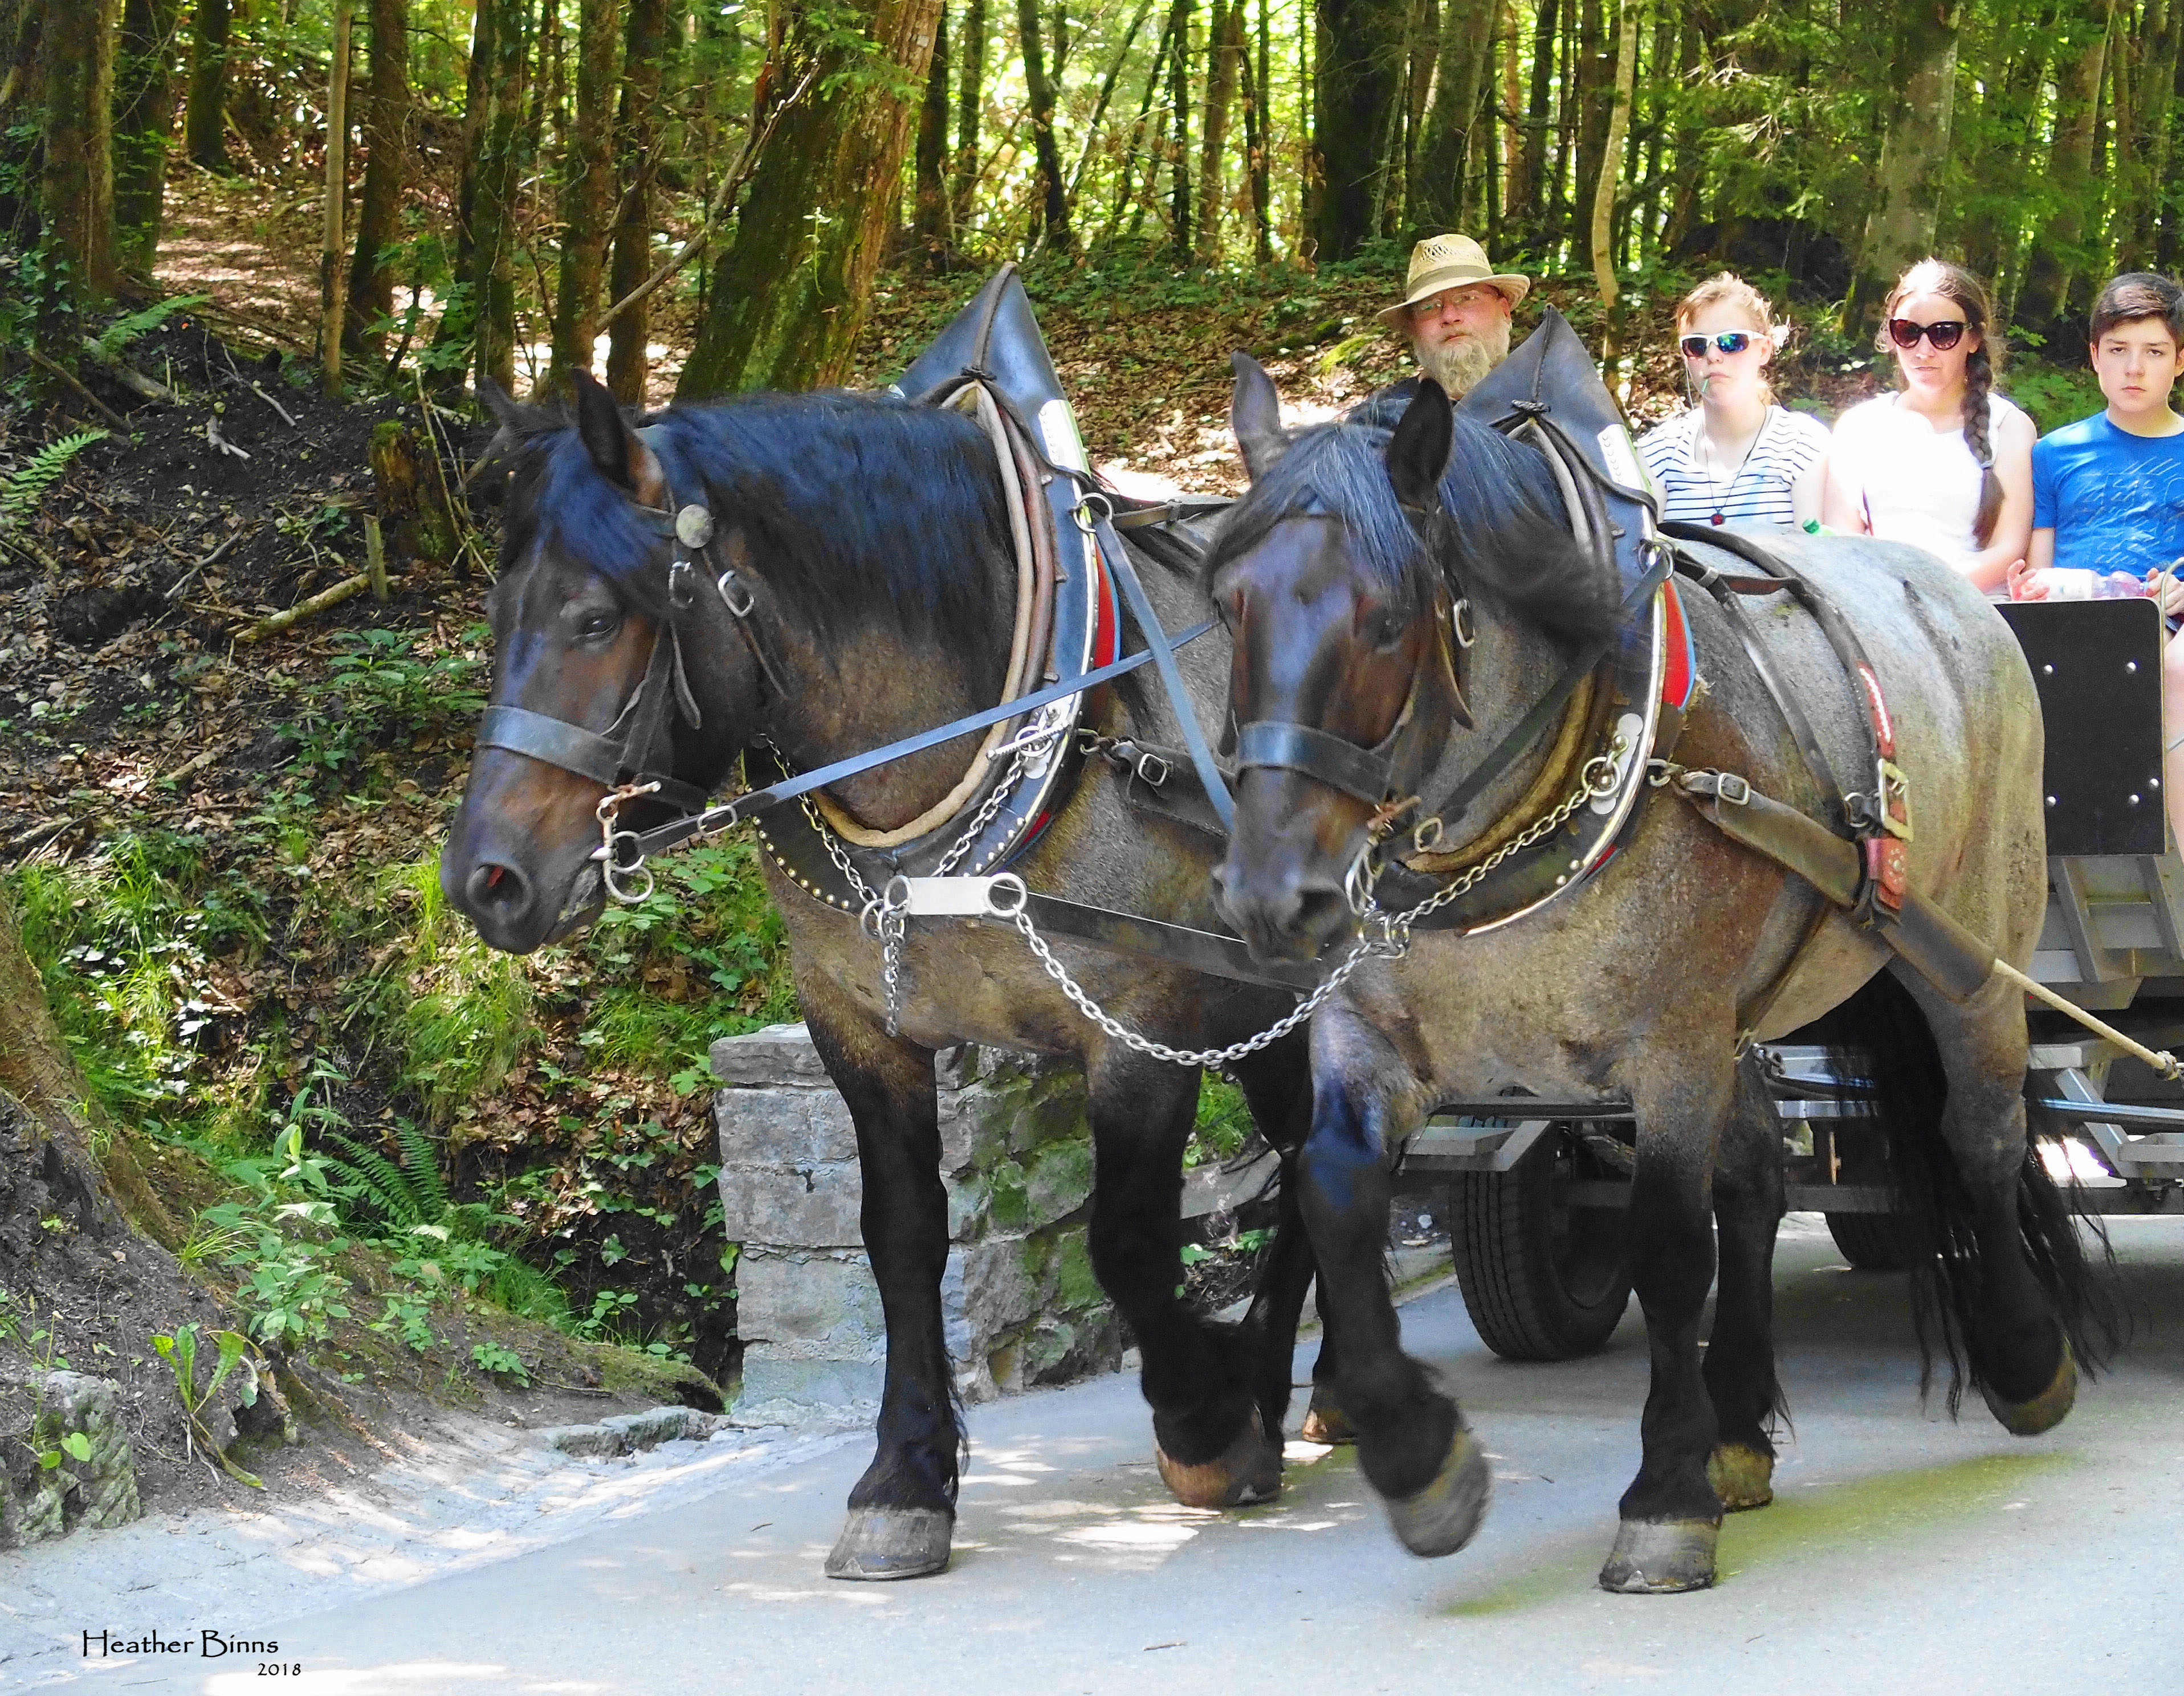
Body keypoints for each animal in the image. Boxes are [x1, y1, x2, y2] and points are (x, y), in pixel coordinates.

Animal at [440, 369, 1333, 1582]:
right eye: (496, 622)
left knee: (1324, 1155)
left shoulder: (1139, 1028)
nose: (483, 879)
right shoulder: (856, 1028)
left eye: (594, 618)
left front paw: (1204, 1420)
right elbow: (900, 1241)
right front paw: (905, 1479)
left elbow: (1126, 1240)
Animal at [1203, 358, 2115, 1592]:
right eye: (1226, 607)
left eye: (1387, 621)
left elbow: (1669, 1248)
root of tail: (1950, 587)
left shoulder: (1670, 1044)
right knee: (1761, 1183)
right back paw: (1737, 1427)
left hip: (1969, 949)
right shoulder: (1369, 1035)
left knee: (1981, 1133)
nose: (1269, 898)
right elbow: (1336, 1194)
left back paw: (2022, 1360)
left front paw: (1665, 1494)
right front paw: (1417, 1455)